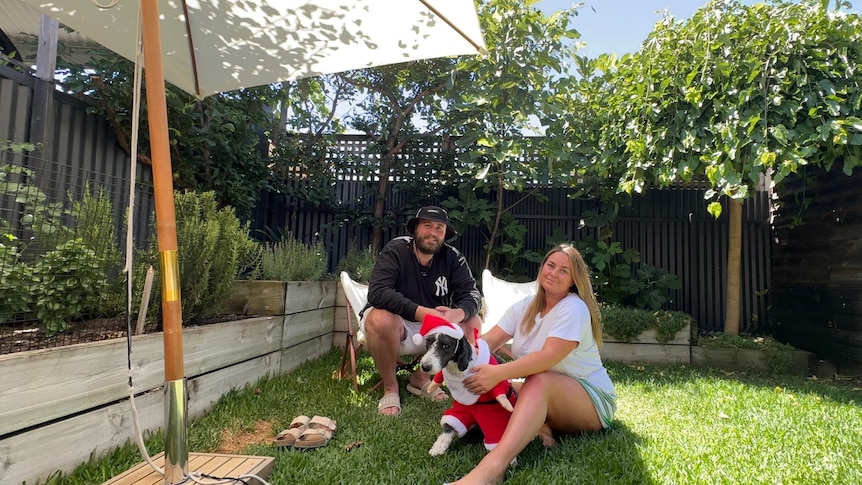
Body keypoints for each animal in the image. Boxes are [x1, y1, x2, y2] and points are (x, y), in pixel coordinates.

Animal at [414, 316, 516, 456]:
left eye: (445, 345)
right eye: (428, 343)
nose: (425, 367)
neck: (457, 368)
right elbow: (448, 427)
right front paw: (438, 448)